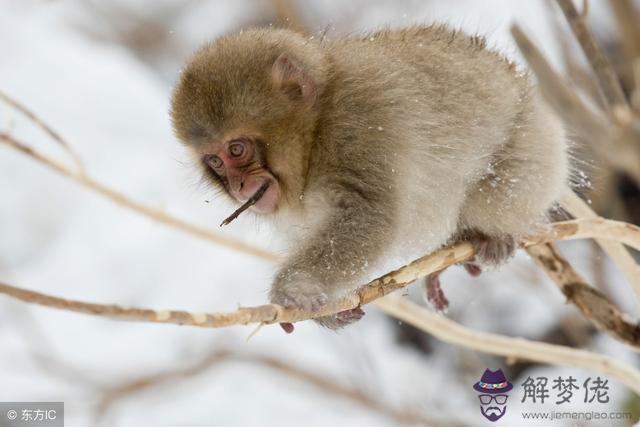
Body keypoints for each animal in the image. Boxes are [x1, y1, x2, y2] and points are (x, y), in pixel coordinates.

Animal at [169, 25, 564, 332]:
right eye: (215, 162)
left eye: (237, 150)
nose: (238, 187)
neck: (316, 129)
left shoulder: (358, 127)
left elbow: (371, 216)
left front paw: (294, 289)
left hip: (531, 150)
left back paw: (488, 235)